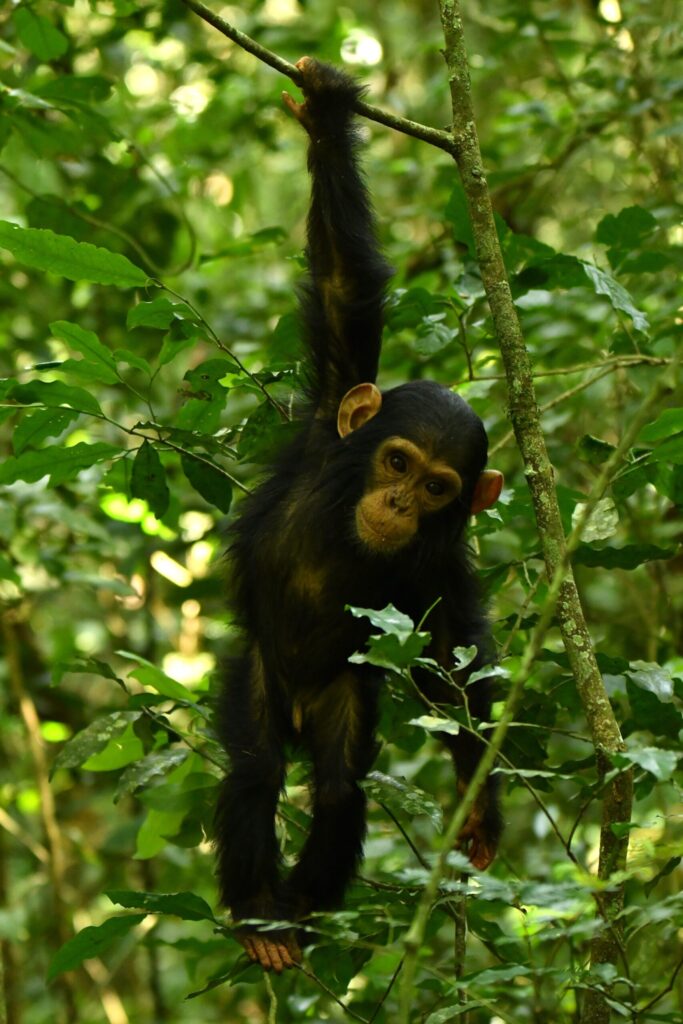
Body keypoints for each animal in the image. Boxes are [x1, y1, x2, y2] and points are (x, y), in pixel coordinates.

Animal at [214, 57, 504, 973]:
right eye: (396, 461)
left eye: (440, 488)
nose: (401, 502)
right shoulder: (327, 417)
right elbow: (346, 285)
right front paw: (326, 114)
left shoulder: (438, 568)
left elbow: (452, 663)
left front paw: (480, 805)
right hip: (261, 677)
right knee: (256, 770)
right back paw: (257, 913)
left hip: (341, 695)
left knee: (340, 791)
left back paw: (300, 910)